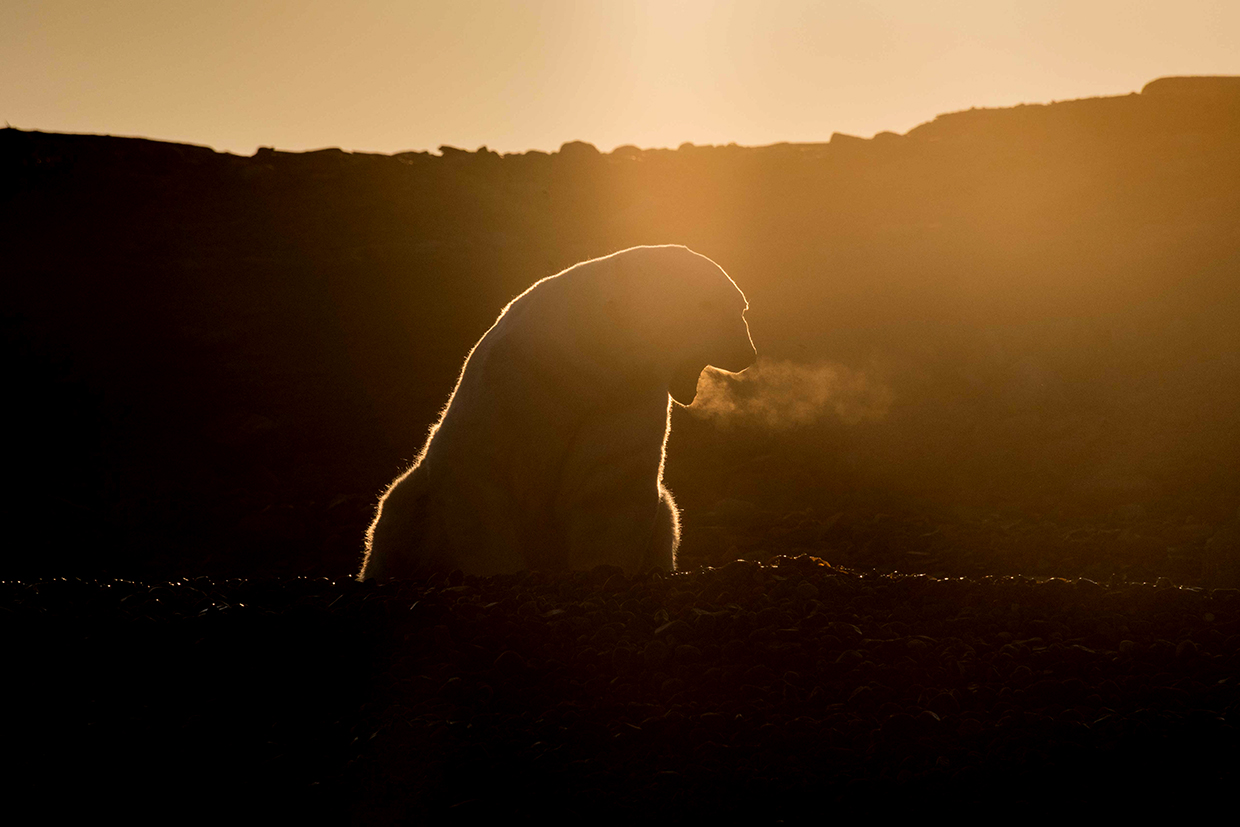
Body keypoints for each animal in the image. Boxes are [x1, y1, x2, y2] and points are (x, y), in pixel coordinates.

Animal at [359, 245, 753, 582]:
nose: (747, 352)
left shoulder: (621, 398)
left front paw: (603, 568)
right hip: (413, 504)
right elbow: (479, 473)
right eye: (708, 305)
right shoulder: (509, 385)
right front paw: (501, 570)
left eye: (741, 307)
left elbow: (609, 482)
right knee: (396, 511)